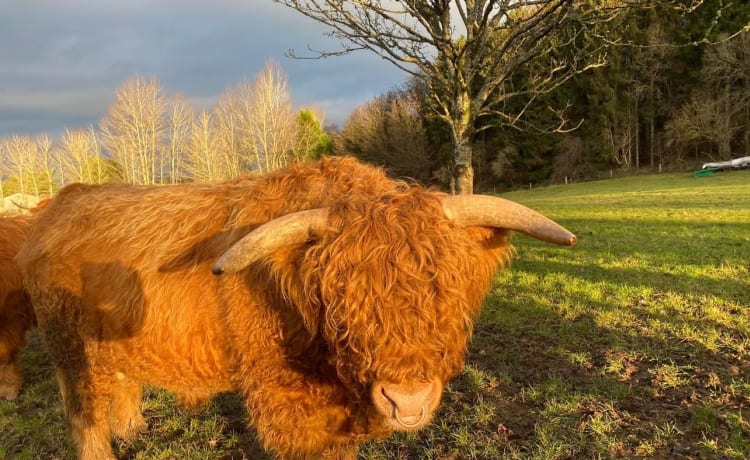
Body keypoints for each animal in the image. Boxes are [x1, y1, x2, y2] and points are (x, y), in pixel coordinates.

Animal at [20, 156, 580, 458]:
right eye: (339, 297)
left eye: (445, 288)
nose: (407, 401)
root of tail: (58, 203)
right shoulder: (288, 397)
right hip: (69, 347)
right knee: (83, 413)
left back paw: (132, 427)